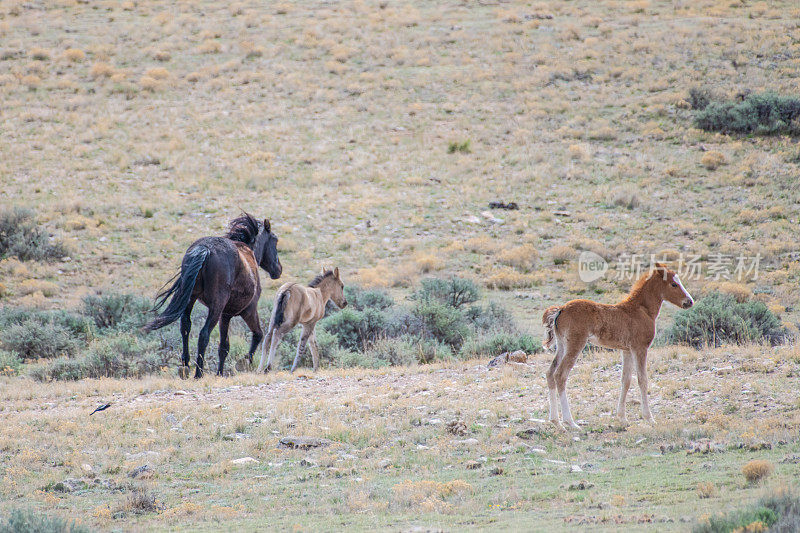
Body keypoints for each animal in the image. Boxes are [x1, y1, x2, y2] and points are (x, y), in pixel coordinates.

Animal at [145, 213, 282, 378]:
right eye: (275, 240)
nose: (278, 269)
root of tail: (205, 250)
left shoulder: (225, 315)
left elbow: (224, 346)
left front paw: (220, 373)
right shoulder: (247, 310)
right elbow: (257, 335)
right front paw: (244, 363)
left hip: (191, 299)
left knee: (185, 327)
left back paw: (185, 367)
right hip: (216, 307)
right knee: (204, 334)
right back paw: (198, 373)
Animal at [544, 264, 692, 430]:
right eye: (674, 284)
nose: (689, 302)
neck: (642, 310)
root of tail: (561, 309)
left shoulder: (626, 350)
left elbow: (625, 380)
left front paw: (622, 418)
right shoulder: (640, 348)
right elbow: (642, 380)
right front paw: (649, 418)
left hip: (562, 344)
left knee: (550, 373)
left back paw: (555, 421)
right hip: (575, 344)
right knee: (560, 375)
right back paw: (570, 422)